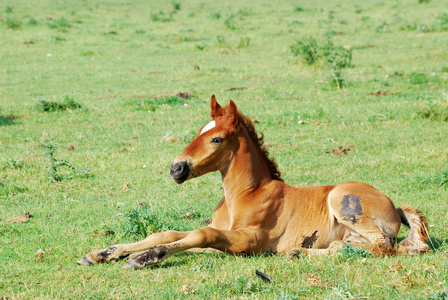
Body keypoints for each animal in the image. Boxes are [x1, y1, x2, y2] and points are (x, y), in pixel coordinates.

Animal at [79, 95, 428, 268]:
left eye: (216, 139)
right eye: (198, 131)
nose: (176, 169)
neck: (244, 195)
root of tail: (395, 207)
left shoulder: (250, 240)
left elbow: (200, 233)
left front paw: (143, 258)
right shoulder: (223, 238)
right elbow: (173, 234)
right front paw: (102, 253)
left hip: (341, 200)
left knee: (383, 246)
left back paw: (300, 254)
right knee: (355, 246)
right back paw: (303, 252)